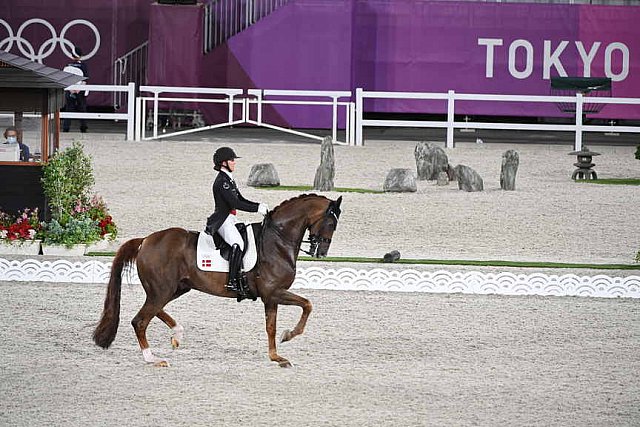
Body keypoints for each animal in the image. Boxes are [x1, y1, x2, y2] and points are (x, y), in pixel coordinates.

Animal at [93, 196, 342, 370]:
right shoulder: (274, 293)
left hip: (175, 288)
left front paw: (277, 355)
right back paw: (153, 359)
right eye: (331, 222)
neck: (277, 241)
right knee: (140, 321)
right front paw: (287, 337)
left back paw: (177, 334)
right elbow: (305, 306)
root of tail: (145, 240)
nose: (320, 252)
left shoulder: (271, 297)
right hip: (162, 291)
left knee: (154, 311)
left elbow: (275, 324)